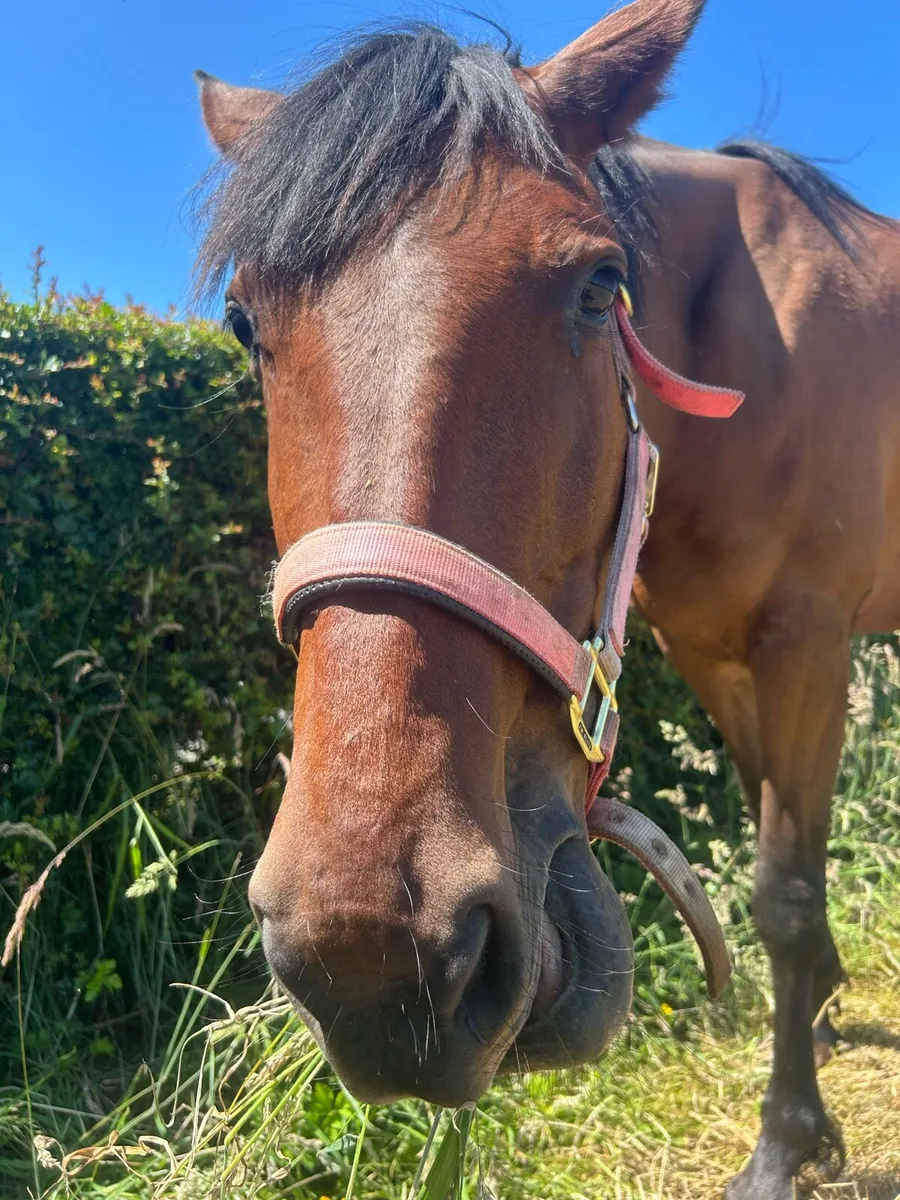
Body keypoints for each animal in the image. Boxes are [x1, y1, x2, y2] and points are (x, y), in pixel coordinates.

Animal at [192, 1, 900, 1196]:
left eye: (602, 285)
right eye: (245, 323)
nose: (373, 949)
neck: (750, 344)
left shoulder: (805, 642)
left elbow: (787, 892)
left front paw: (787, 1138)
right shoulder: (716, 653)